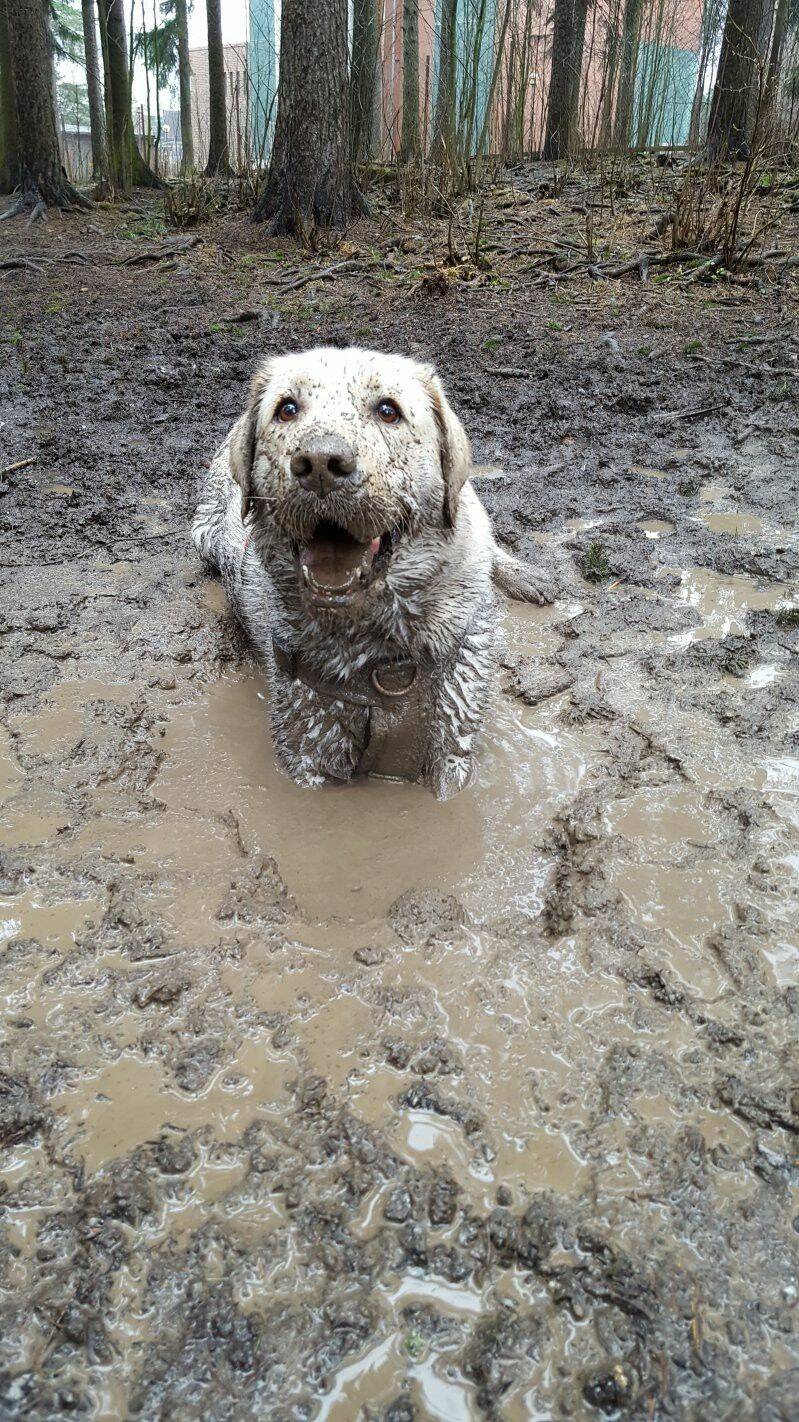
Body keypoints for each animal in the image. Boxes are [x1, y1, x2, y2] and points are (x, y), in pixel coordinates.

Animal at [191, 345, 545, 802]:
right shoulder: (308, 745)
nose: (320, 462)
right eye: (287, 409)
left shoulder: (453, 740)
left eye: (388, 410)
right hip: (205, 532)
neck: (382, 656)